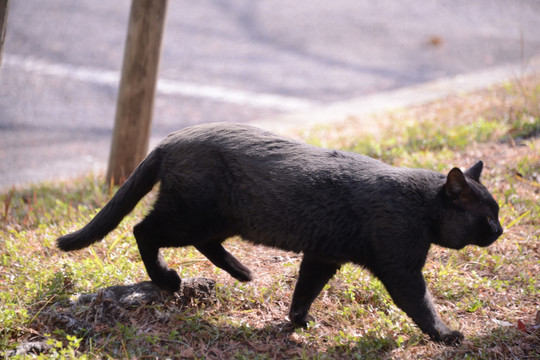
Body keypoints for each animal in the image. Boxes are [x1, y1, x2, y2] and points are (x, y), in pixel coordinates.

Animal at [57, 122, 504, 344]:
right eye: (487, 217)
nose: (500, 230)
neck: (419, 204)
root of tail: (167, 141)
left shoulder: (323, 255)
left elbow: (304, 290)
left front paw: (296, 322)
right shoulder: (401, 269)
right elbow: (422, 305)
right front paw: (446, 335)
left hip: (220, 219)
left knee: (201, 242)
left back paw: (241, 273)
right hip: (190, 215)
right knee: (142, 230)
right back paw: (168, 279)